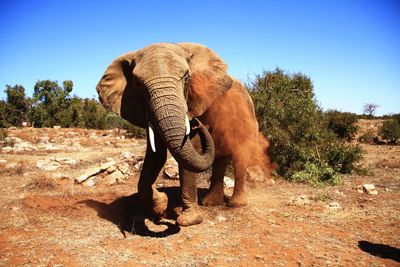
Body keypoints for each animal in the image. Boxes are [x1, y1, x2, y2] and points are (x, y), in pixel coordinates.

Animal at [97, 43, 272, 227]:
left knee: (239, 157)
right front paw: (160, 204)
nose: (197, 123)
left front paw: (189, 220)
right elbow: (155, 155)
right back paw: (210, 203)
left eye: (187, 78)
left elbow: (189, 148)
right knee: (220, 160)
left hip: (249, 122)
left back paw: (235, 204)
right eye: (137, 84)